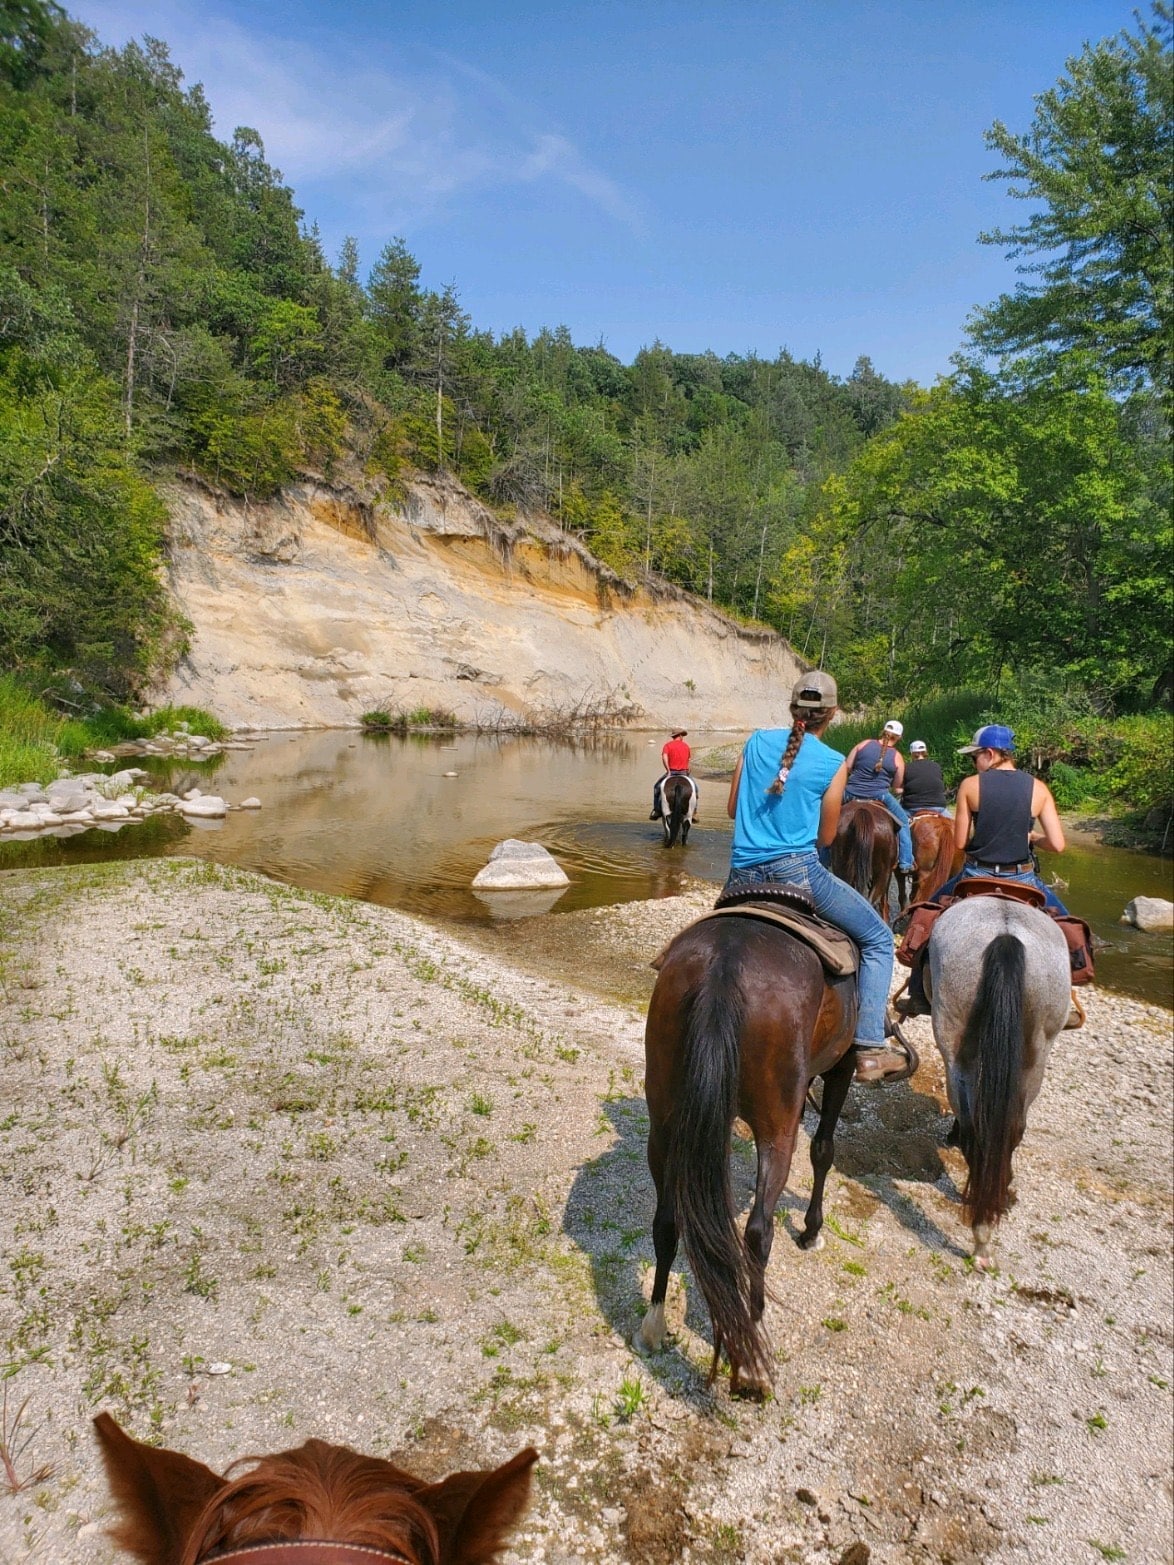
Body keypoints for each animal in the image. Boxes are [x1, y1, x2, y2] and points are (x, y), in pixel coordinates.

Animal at [638, 901, 857, 1402]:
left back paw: (654, 1323)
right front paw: (811, 1230)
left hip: (665, 1118)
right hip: (777, 1128)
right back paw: (755, 1362)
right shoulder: (844, 1066)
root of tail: (725, 964)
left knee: (667, 1221)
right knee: (758, 1231)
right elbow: (824, 1149)